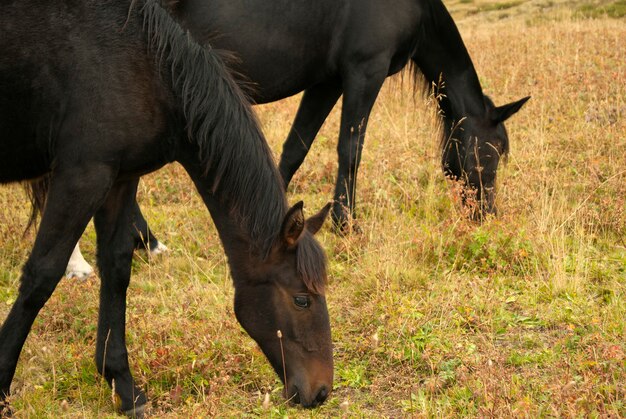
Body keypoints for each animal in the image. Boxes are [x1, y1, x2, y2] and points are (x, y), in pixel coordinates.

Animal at [1, 0, 332, 416]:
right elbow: (40, 277)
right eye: (302, 299)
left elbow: (117, 270)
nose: (322, 392)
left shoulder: (119, 180)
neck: (144, 68)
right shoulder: (82, 177)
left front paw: (124, 388)